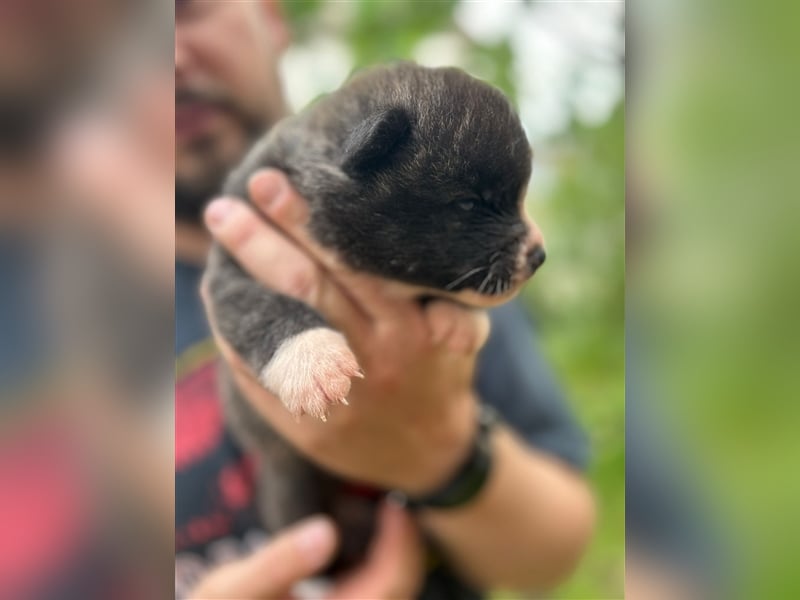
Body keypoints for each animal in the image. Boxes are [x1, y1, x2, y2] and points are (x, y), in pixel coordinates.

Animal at [205, 63, 544, 568]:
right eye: (468, 203)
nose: (540, 255)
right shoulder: (229, 270)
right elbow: (262, 308)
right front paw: (311, 360)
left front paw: (459, 321)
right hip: (289, 488)